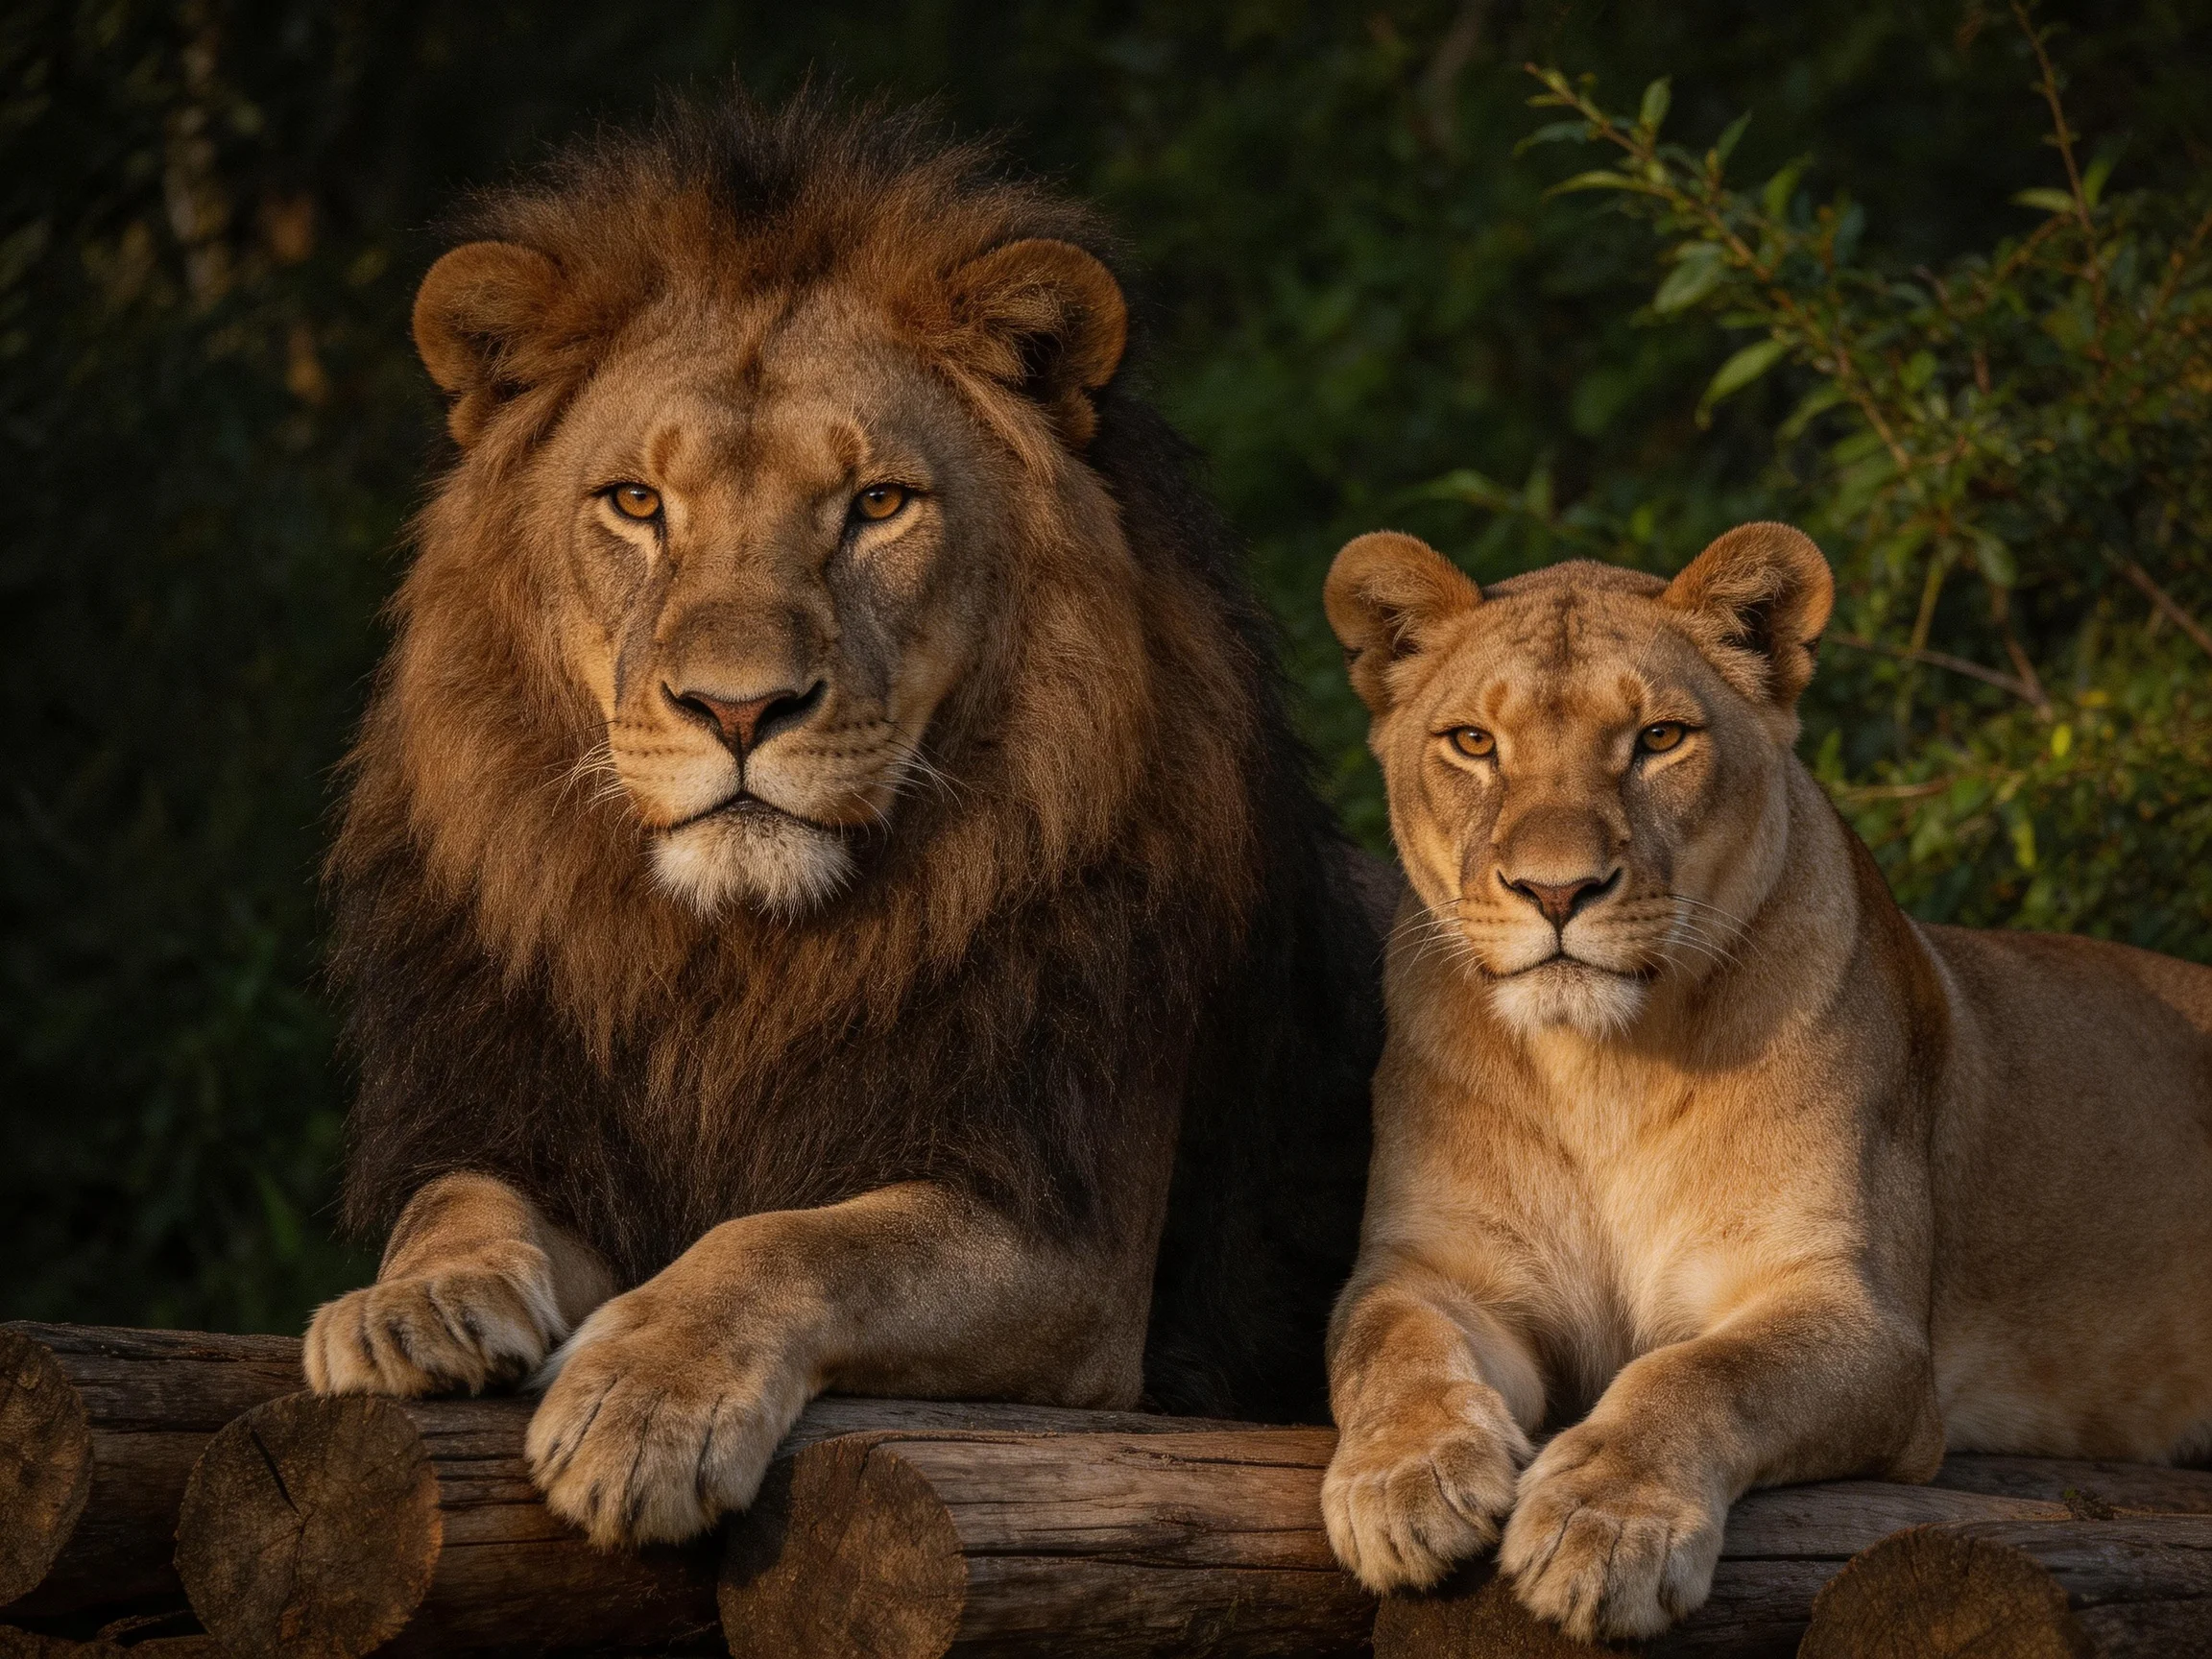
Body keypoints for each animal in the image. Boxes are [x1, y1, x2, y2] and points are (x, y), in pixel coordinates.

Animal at [299, 94, 1382, 1549]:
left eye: (876, 505)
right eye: (636, 503)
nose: (737, 708)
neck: (740, 963)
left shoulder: (1068, 1240)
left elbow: (794, 1239)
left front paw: (644, 1399)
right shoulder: (527, 1118)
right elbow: (456, 1197)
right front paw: (411, 1306)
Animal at [1317, 523, 2212, 1639]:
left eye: (1659, 738)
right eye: (1473, 743)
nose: (1557, 891)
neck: (1597, 1069)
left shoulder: (1859, 1316)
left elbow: (1700, 1373)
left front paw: (1603, 1525)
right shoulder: (1435, 1268)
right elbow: (1389, 1349)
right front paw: (1406, 1484)